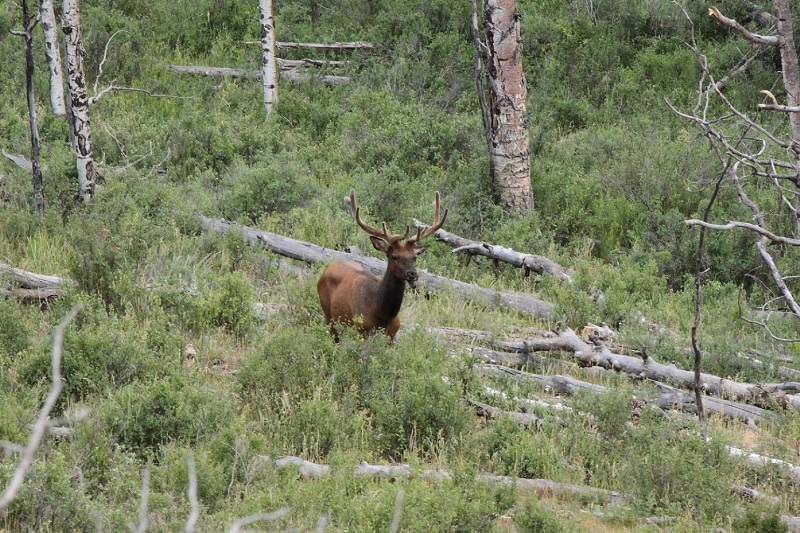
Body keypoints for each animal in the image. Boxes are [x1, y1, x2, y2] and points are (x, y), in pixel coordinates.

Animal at [317, 189, 448, 342]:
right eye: (394, 256)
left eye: (414, 258)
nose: (412, 274)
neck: (382, 315)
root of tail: (328, 268)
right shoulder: (360, 330)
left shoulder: (392, 335)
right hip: (329, 316)